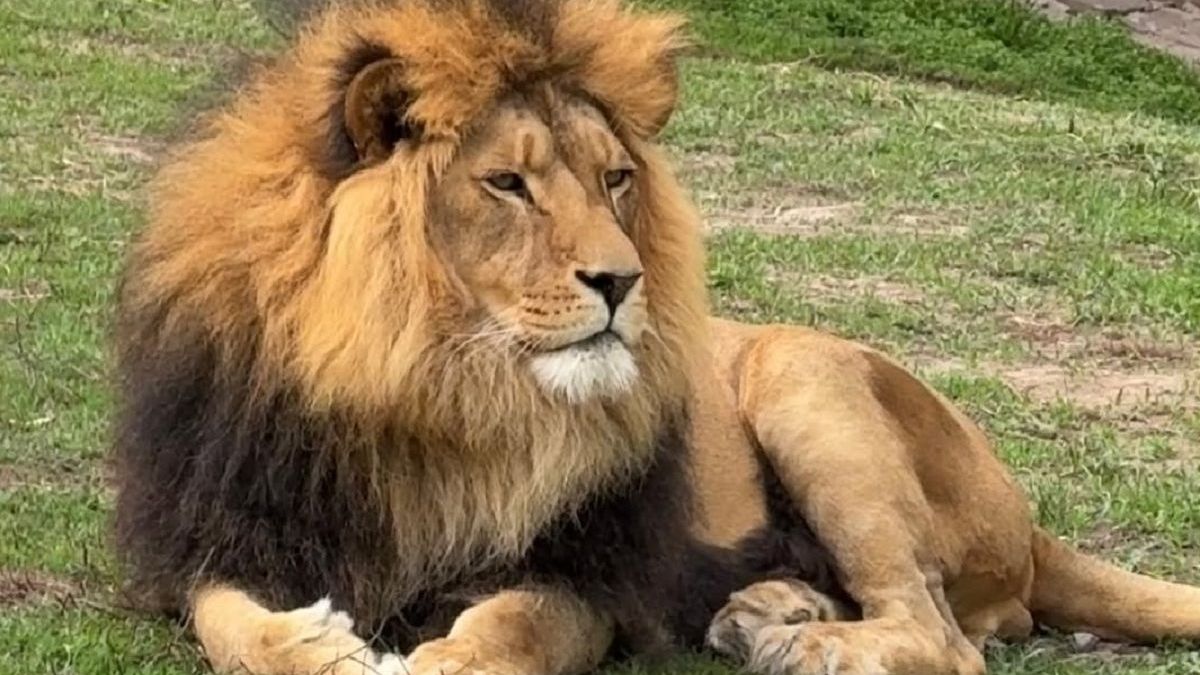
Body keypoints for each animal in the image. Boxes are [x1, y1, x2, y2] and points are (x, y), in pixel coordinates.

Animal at [111, 1, 1200, 675]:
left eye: (615, 179)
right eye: (508, 184)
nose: (621, 279)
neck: (437, 384)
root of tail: (1032, 524)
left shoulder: (589, 575)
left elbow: (517, 622)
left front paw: (450, 655)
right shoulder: (232, 522)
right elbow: (231, 622)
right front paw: (320, 644)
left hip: (803, 375)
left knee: (945, 635)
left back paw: (810, 643)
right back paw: (767, 611)